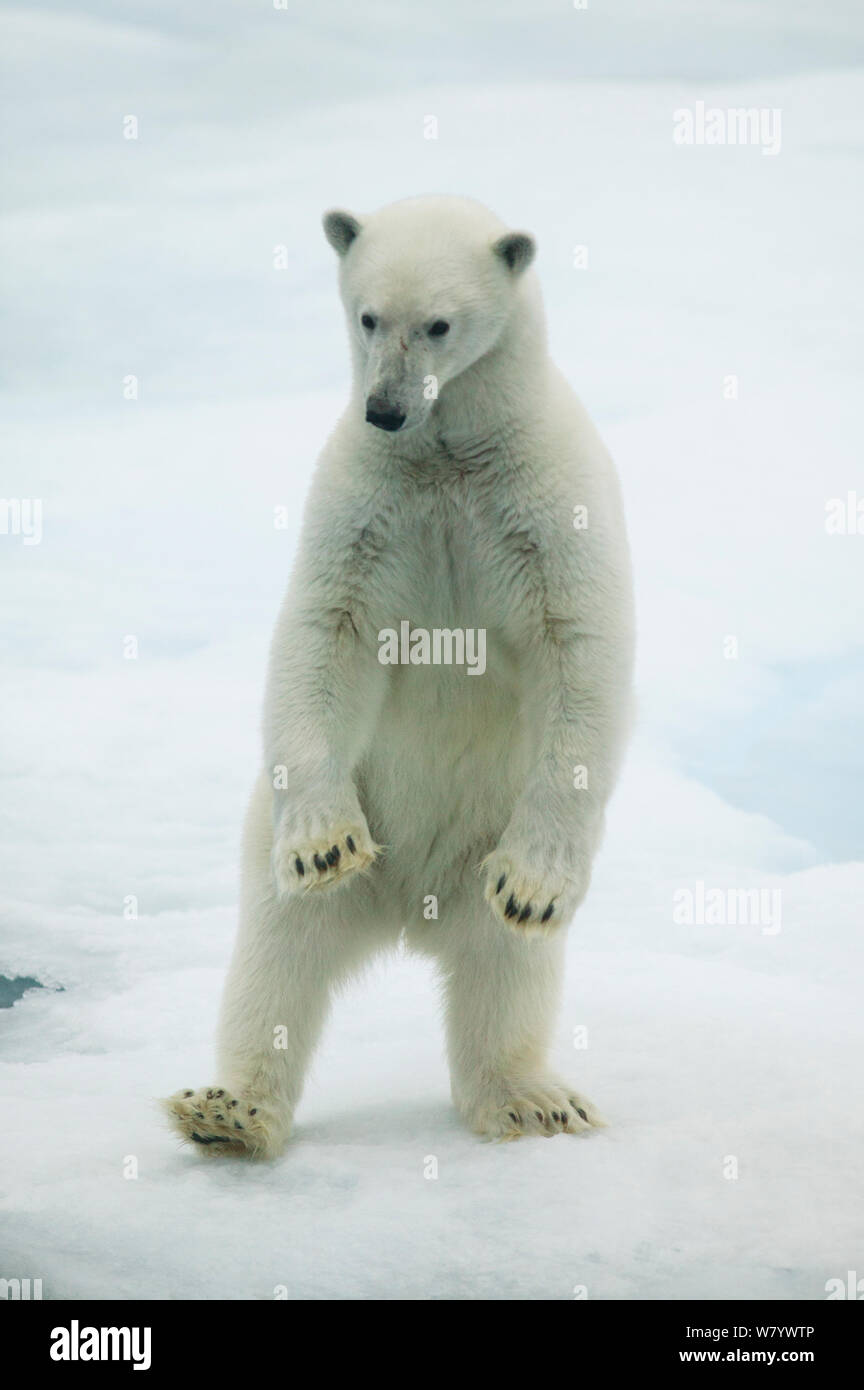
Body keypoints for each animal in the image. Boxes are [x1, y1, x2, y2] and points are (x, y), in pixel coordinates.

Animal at [162, 195, 634, 1158]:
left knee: (507, 968)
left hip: (488, 830)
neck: (447, 450)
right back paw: (230, 1110)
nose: (383, 407)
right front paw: (323, 842)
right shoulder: (364, 498)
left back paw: (530, 1099)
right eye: (367, 316)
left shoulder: (546, 498)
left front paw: (536, 883)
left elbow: (581, 647)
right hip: (312, 840)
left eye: (440, 324)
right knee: (276, 954)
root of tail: (413, 911)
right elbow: (324, 634)